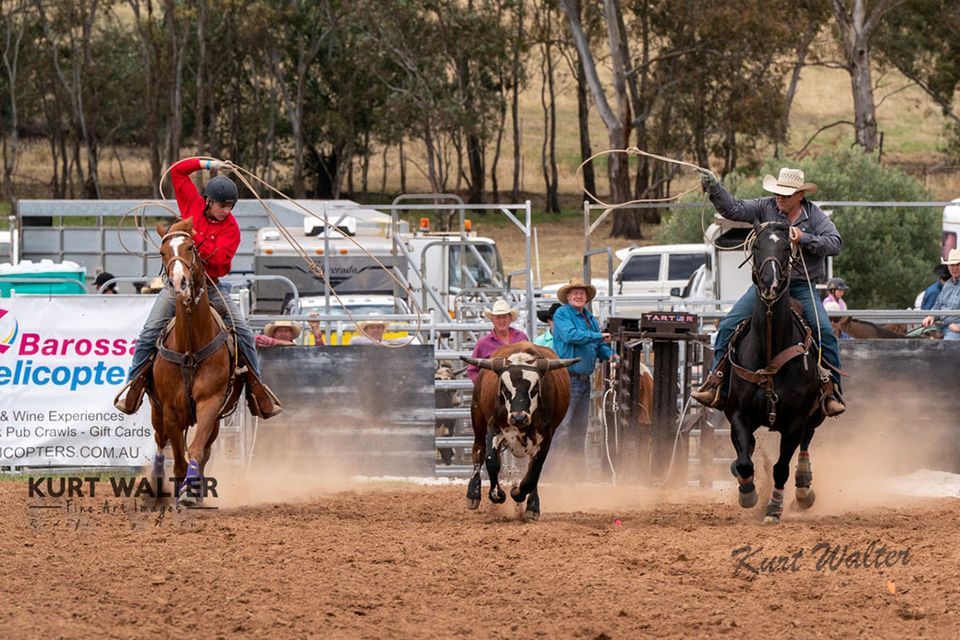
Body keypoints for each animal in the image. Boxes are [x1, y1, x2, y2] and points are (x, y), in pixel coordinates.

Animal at [149, 220, 235, 504]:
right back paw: (157, 482)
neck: (189, 348)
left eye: (190, 248)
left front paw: (190, 492)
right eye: (162, 252)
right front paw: (179, 487)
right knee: (160, 440)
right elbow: (177, 459)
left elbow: (196, 450)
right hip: (156, 410)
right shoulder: (170, 410)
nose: (180, 282)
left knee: (204, 449)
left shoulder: (211, 402)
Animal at [728, 222, 824, 524]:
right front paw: (747, 493)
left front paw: (773, 508)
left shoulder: (795, 421)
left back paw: (804, 487)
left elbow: (782, 467)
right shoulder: (738, 414)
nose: (769, 284)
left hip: (815, 413)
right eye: (758, 246)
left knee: (807, 440)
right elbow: (745, 461)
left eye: (785, 248)